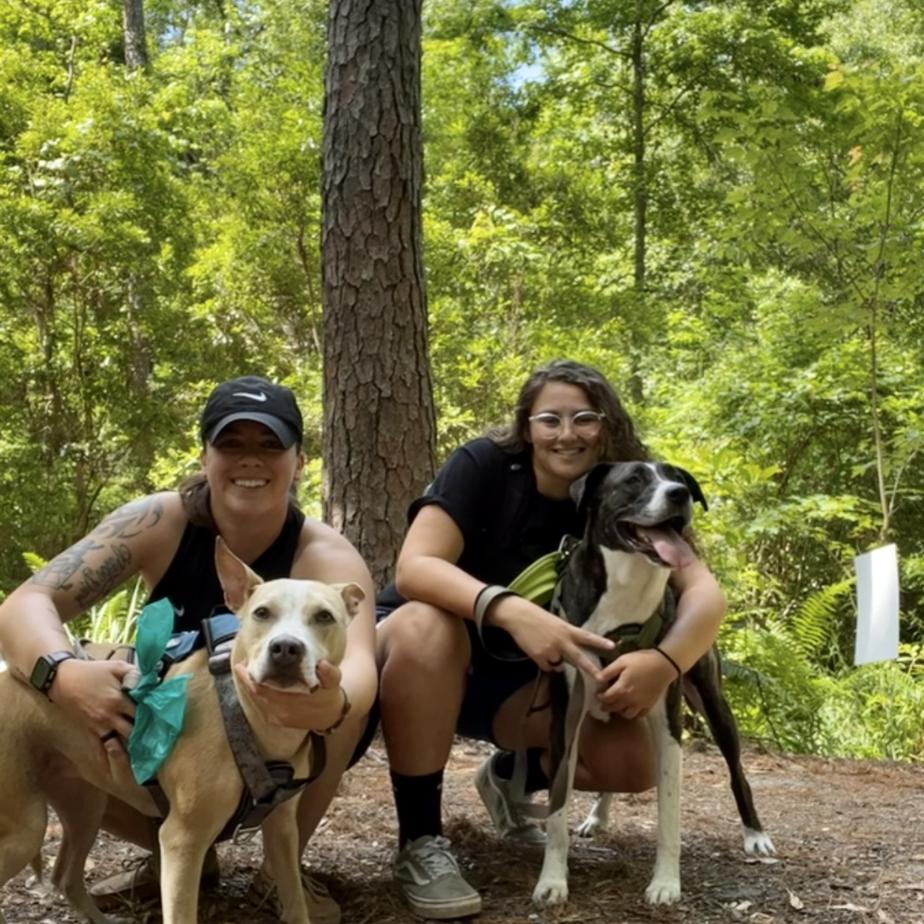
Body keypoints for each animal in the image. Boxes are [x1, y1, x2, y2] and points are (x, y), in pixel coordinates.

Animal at [0, 536, 362, 920]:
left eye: (324, 617)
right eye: (262, 613)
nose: (286, 648)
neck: (249, 717)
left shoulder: (281, 830)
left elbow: (294, 904)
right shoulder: (182, 840)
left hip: (84, 803)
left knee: (66, 875)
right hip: (25, 829)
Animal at [532, 458, 776, 904]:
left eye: (677, 480)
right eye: (633, 480)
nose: (678, 495)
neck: (625, 596)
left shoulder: (668, 723)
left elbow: (669, 816)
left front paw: (665, 883)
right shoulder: (565, 721)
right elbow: (556, 811)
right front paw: (552, 880)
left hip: (714, 705)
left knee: (737, 772)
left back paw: (755, 834)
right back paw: (598, 816)